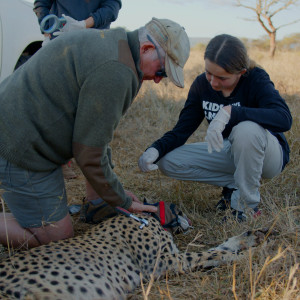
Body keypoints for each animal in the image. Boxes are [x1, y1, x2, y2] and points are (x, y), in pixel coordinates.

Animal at [0, 213, 268, 300]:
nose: (188, 221)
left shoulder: (172, 256)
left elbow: (220, 247)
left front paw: (251, 237)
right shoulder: (161, 263)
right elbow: (212, 252)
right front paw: (252, 255)